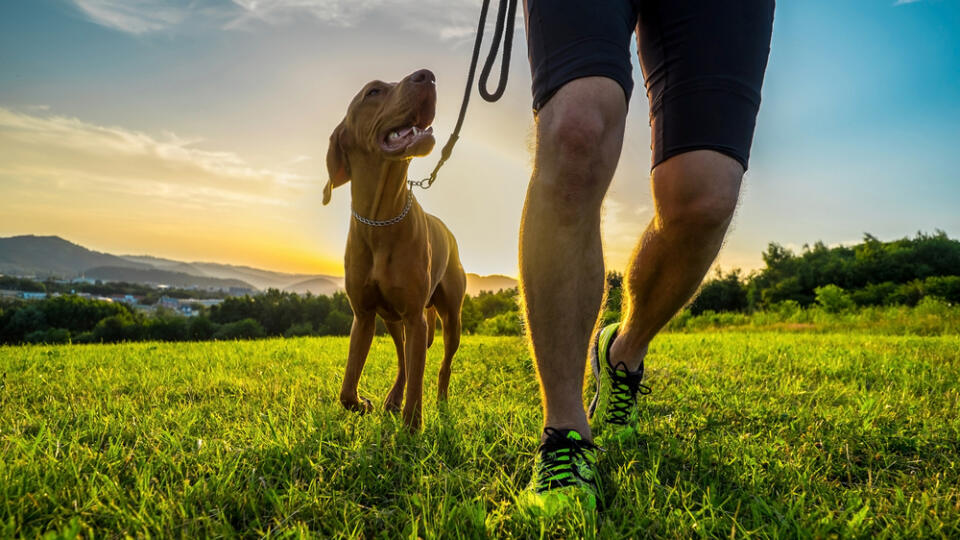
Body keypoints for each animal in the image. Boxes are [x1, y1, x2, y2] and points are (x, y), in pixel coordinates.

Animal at [324, 68, 466, 430]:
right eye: (373, 91)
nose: (427, 76)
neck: (381, 218)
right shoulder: (363, 316)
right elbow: (346, 389)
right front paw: (363, 404)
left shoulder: (416, 316)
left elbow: (418, 381)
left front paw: (412, 426)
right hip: (392, 319)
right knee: (403, 359)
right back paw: (392, 398)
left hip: (450, 318)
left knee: (442, 364)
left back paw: (441, 401)